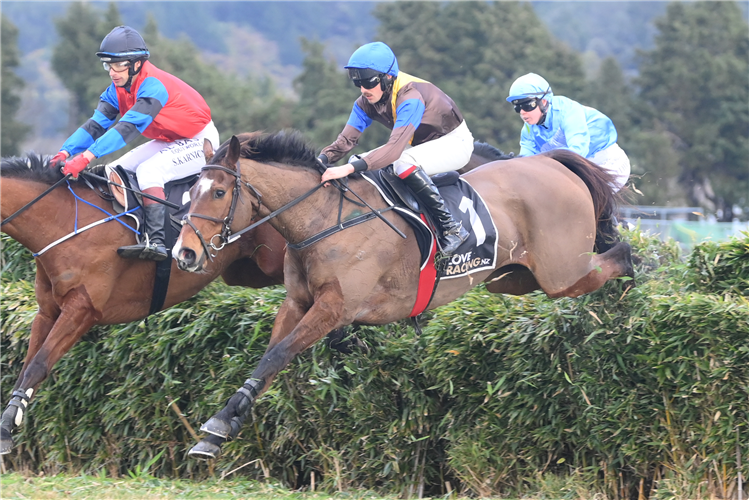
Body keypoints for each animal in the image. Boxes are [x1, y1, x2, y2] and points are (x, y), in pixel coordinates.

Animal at [0, 139, 286, 456]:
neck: (64, 221)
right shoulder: (47, 312)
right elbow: (26, 367)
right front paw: (7, 426)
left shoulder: (81, 310)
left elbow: (38, 364)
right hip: (245, 272)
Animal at [174, 129, 632, 458]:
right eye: (189, 192)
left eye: (218, 192)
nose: (185, 253)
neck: (322, 220)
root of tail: (550, 163)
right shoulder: (298, 304)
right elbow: (268, 360)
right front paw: (219, 427)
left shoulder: (335, 308)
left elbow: (278, 354)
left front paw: (221, 424)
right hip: (514, 277)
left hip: (562, 274)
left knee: (617, 257)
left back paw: (632, 287)